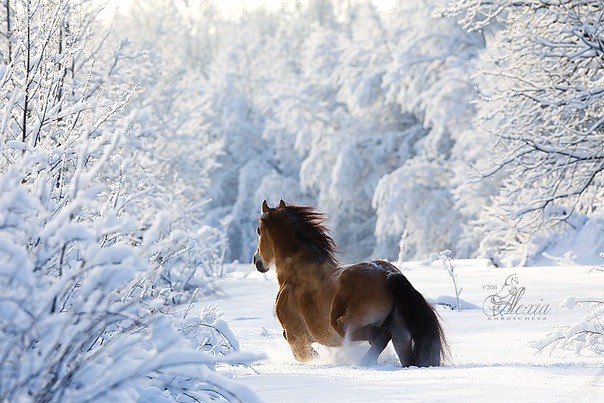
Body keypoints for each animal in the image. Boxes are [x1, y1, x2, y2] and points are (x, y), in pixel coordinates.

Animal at [251, 200, 448, 368]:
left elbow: (304, 356)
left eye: (259, 230)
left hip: (346, 326)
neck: (295, 273)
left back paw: (363, 363)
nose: (256, 261)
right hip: (401, 334)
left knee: (380, 337)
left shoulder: (295, 336)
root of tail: (388, 274)